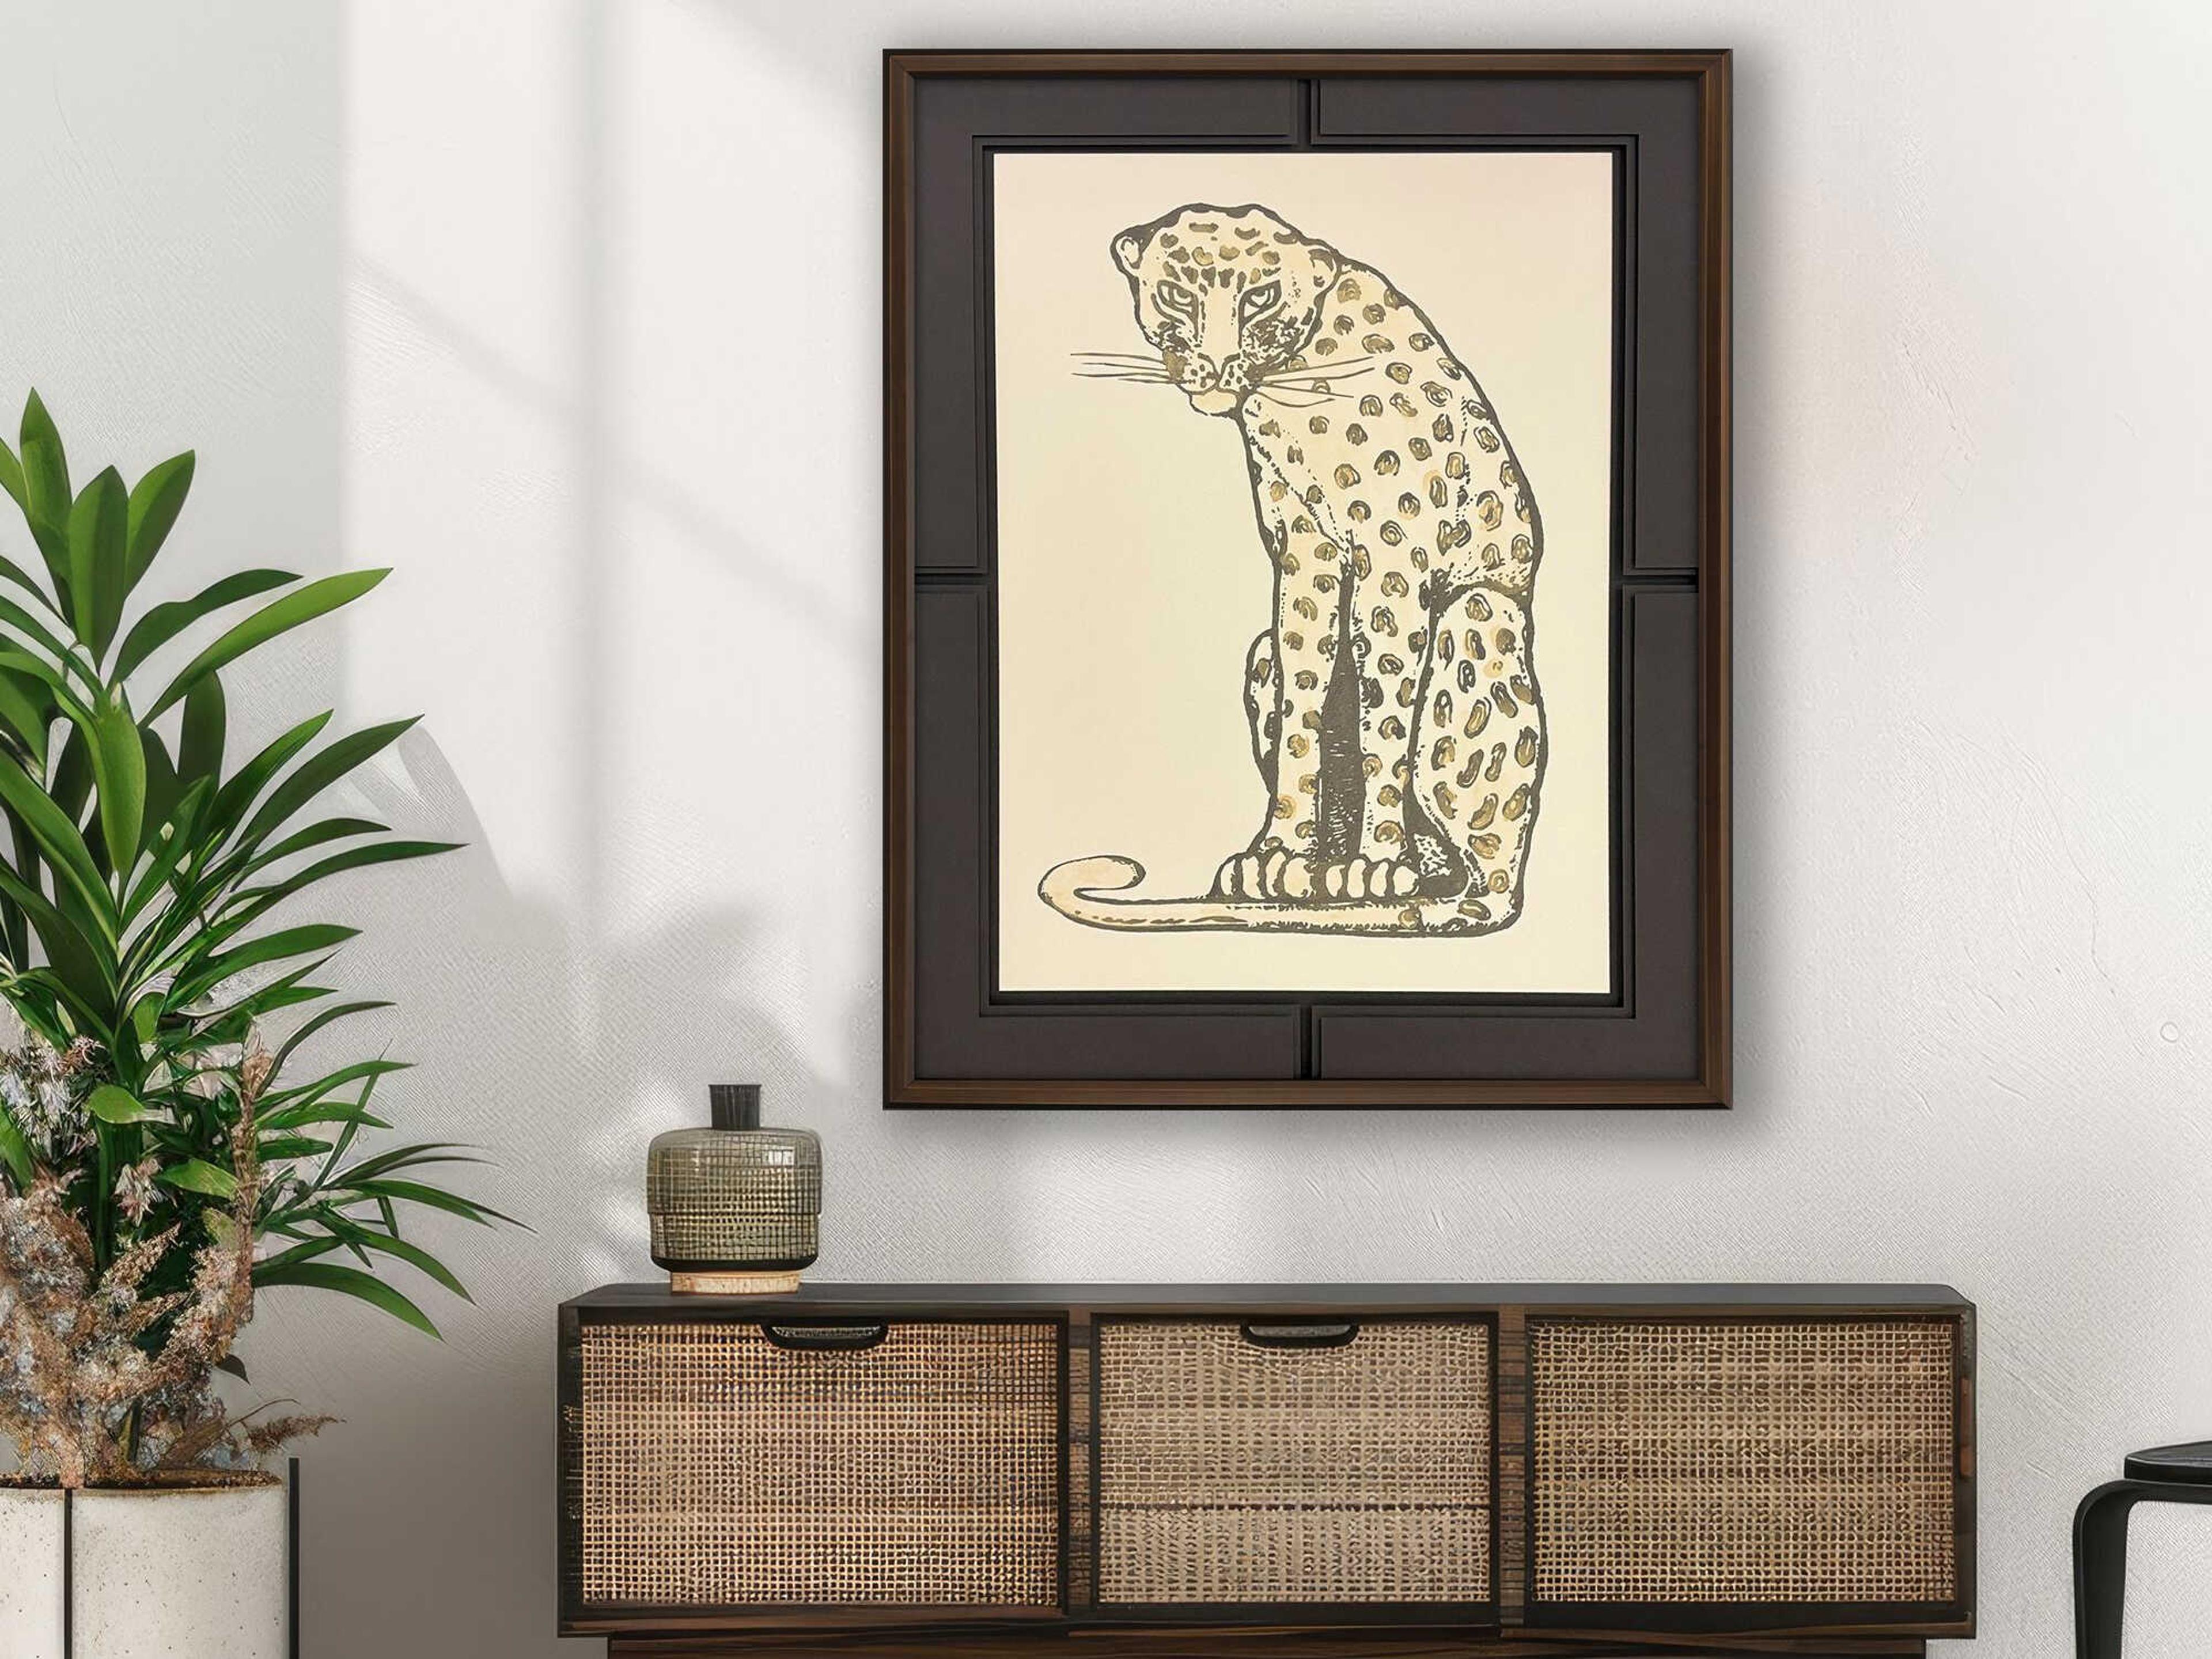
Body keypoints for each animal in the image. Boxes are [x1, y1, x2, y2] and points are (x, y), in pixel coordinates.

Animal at [1038, 201, 1547, 937]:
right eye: (1177, 295)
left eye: (1260, 297)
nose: (1215, 366)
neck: (1295, 379)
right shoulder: (1308, 554)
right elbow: (1302, 698)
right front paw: (1277, 856)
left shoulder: (1396, 566)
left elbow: (1386, 719)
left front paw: (1376, 862)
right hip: (1259, 654)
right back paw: (1335, 875)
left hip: (1475, 616)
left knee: (1482, 881)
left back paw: (1418, 886)